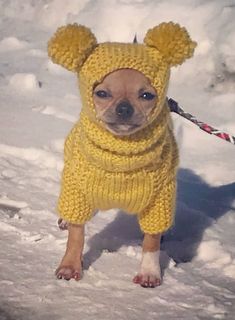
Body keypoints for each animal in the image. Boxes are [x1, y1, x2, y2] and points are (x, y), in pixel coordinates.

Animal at [47, 21, 195, 288]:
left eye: (147, 95)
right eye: (102, 93)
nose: (124, 107)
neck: (121, 157)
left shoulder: (160, 199)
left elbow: (151, 241)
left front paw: (149, 272)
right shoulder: (78, 190)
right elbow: (77, 235)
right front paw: (70, 266)